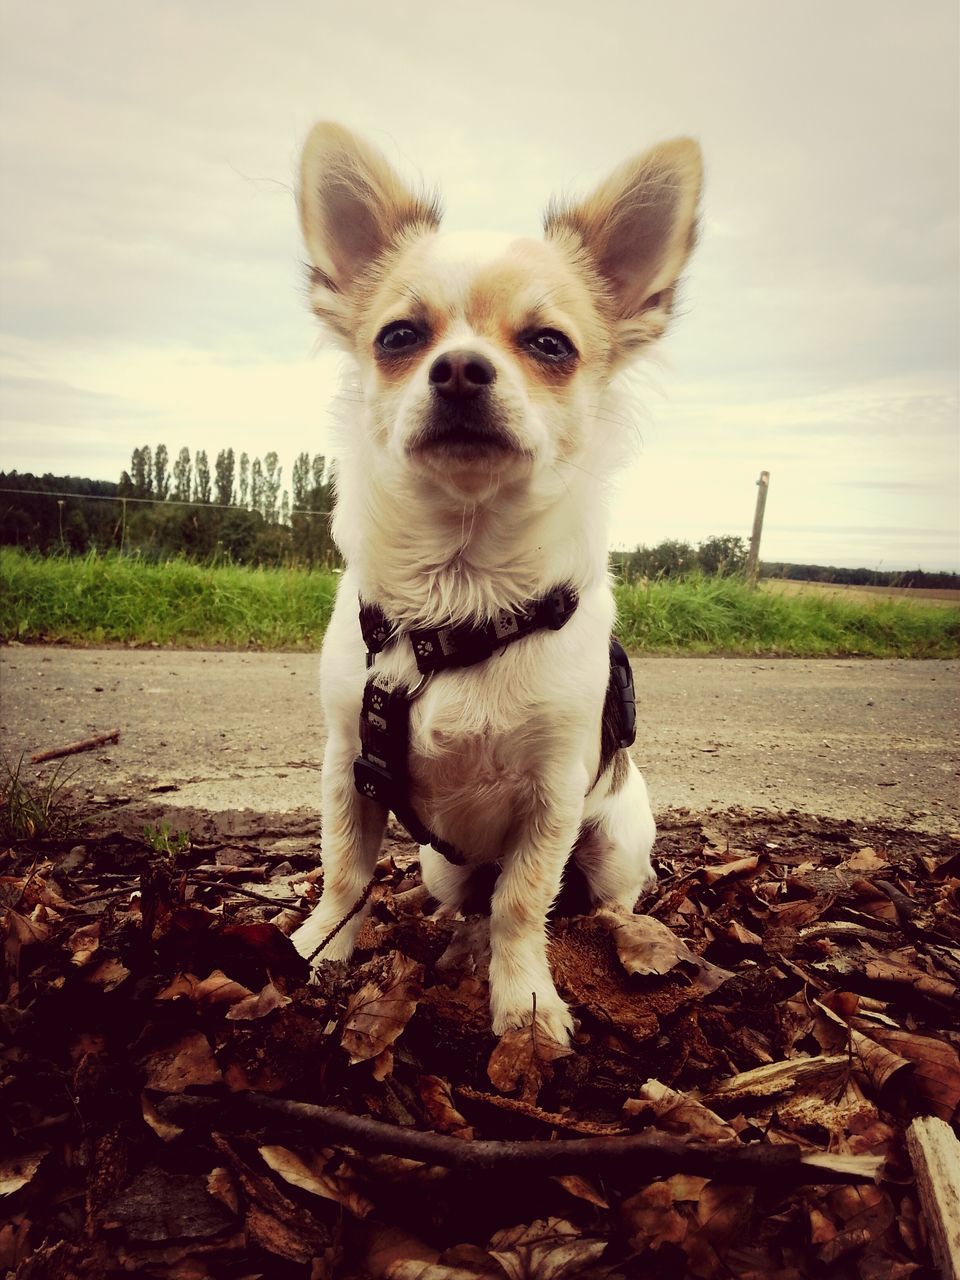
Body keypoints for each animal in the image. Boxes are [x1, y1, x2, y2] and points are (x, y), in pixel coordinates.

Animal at [289, 120, 701, 1044]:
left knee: (597, 896)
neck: (460, 593)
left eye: (549, 345)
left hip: (613, 838)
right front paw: (316, 951)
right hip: (441, 865)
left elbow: (523, 904)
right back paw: (447, 927)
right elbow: (344, 872)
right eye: (399, 338)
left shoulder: (552, 800)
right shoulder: (346, 765)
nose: (460, 369)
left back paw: (617, 933)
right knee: (463, 897)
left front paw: (526, 1006)